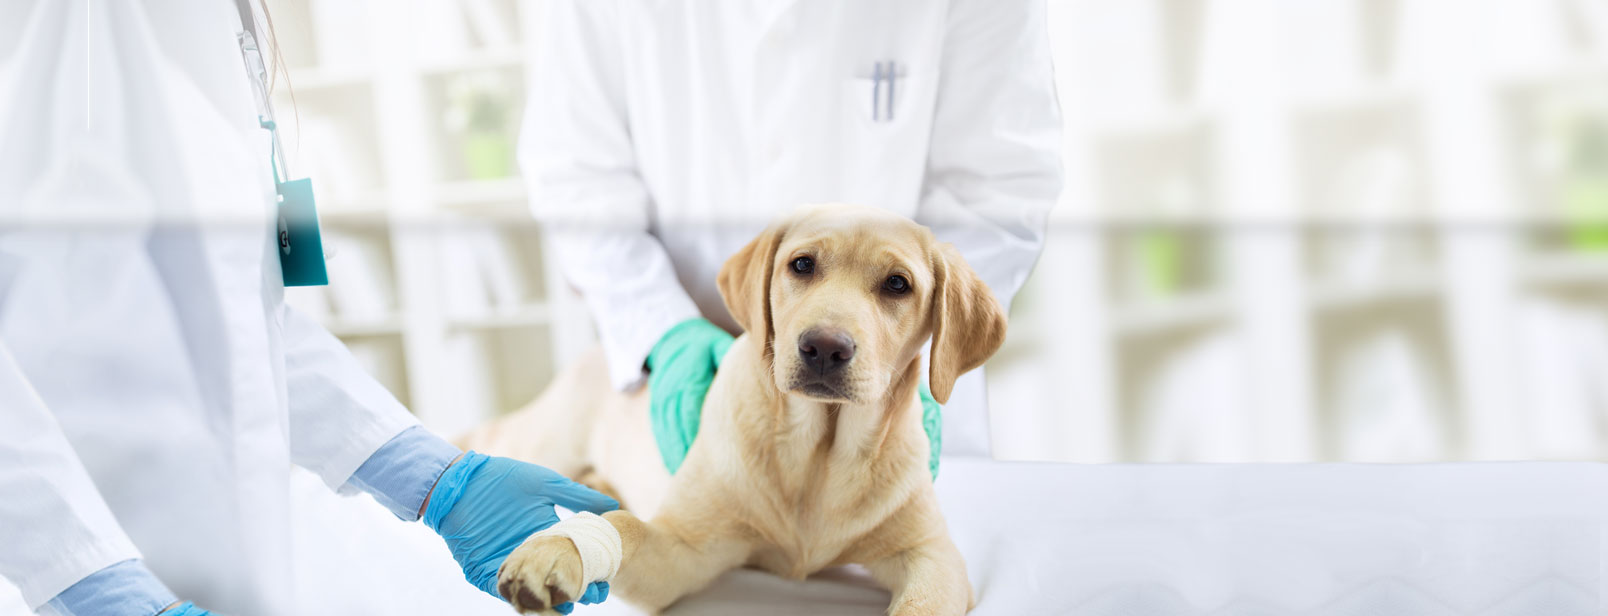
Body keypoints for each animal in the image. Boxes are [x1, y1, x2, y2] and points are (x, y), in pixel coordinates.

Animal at [456, 205, 1003, 614]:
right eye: (802, 265)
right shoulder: (683, 551)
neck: (818, 455)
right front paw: (559, 548)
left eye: (897, 284)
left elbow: (922, 603)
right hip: (543, 442)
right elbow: (625, 525)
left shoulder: (932, 556)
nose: (824, 348)